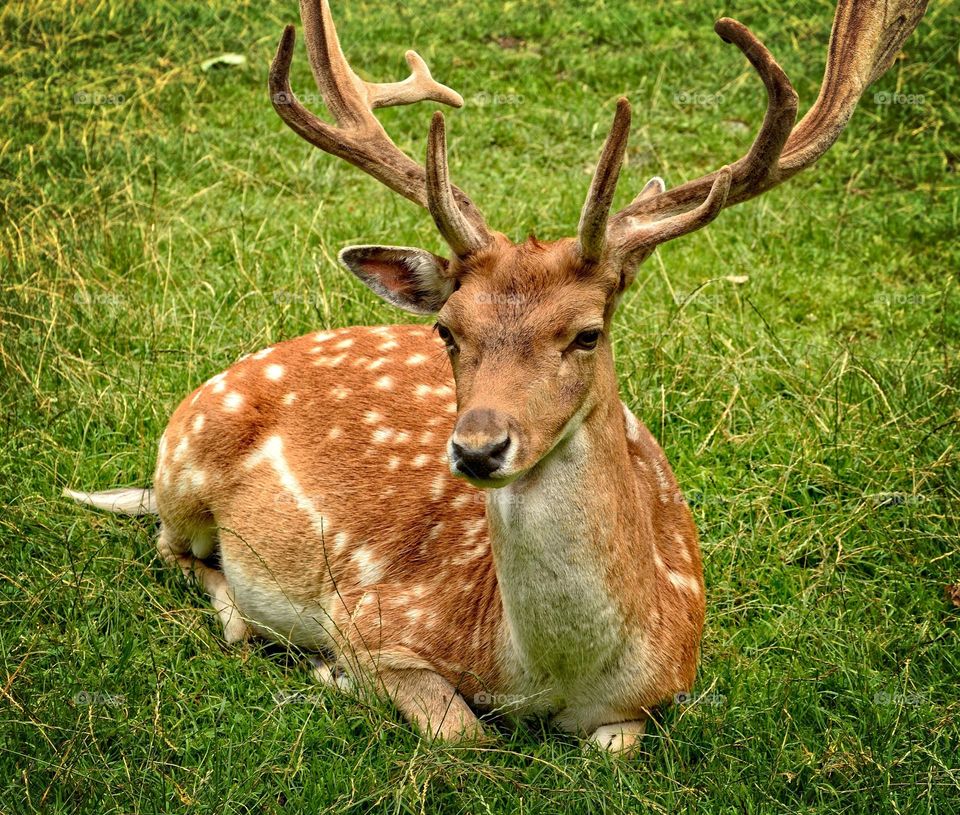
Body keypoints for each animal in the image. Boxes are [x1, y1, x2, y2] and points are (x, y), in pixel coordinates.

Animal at [66, 0, 927, 752]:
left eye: (587, 332)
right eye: (449, 329)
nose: (478, 448)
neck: (545, 673)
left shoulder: (664, 684)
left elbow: (614, 748)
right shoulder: (372, 615)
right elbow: (462, 731)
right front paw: (335, 677)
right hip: (188, 458)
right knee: (171, 546)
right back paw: (240, 620)